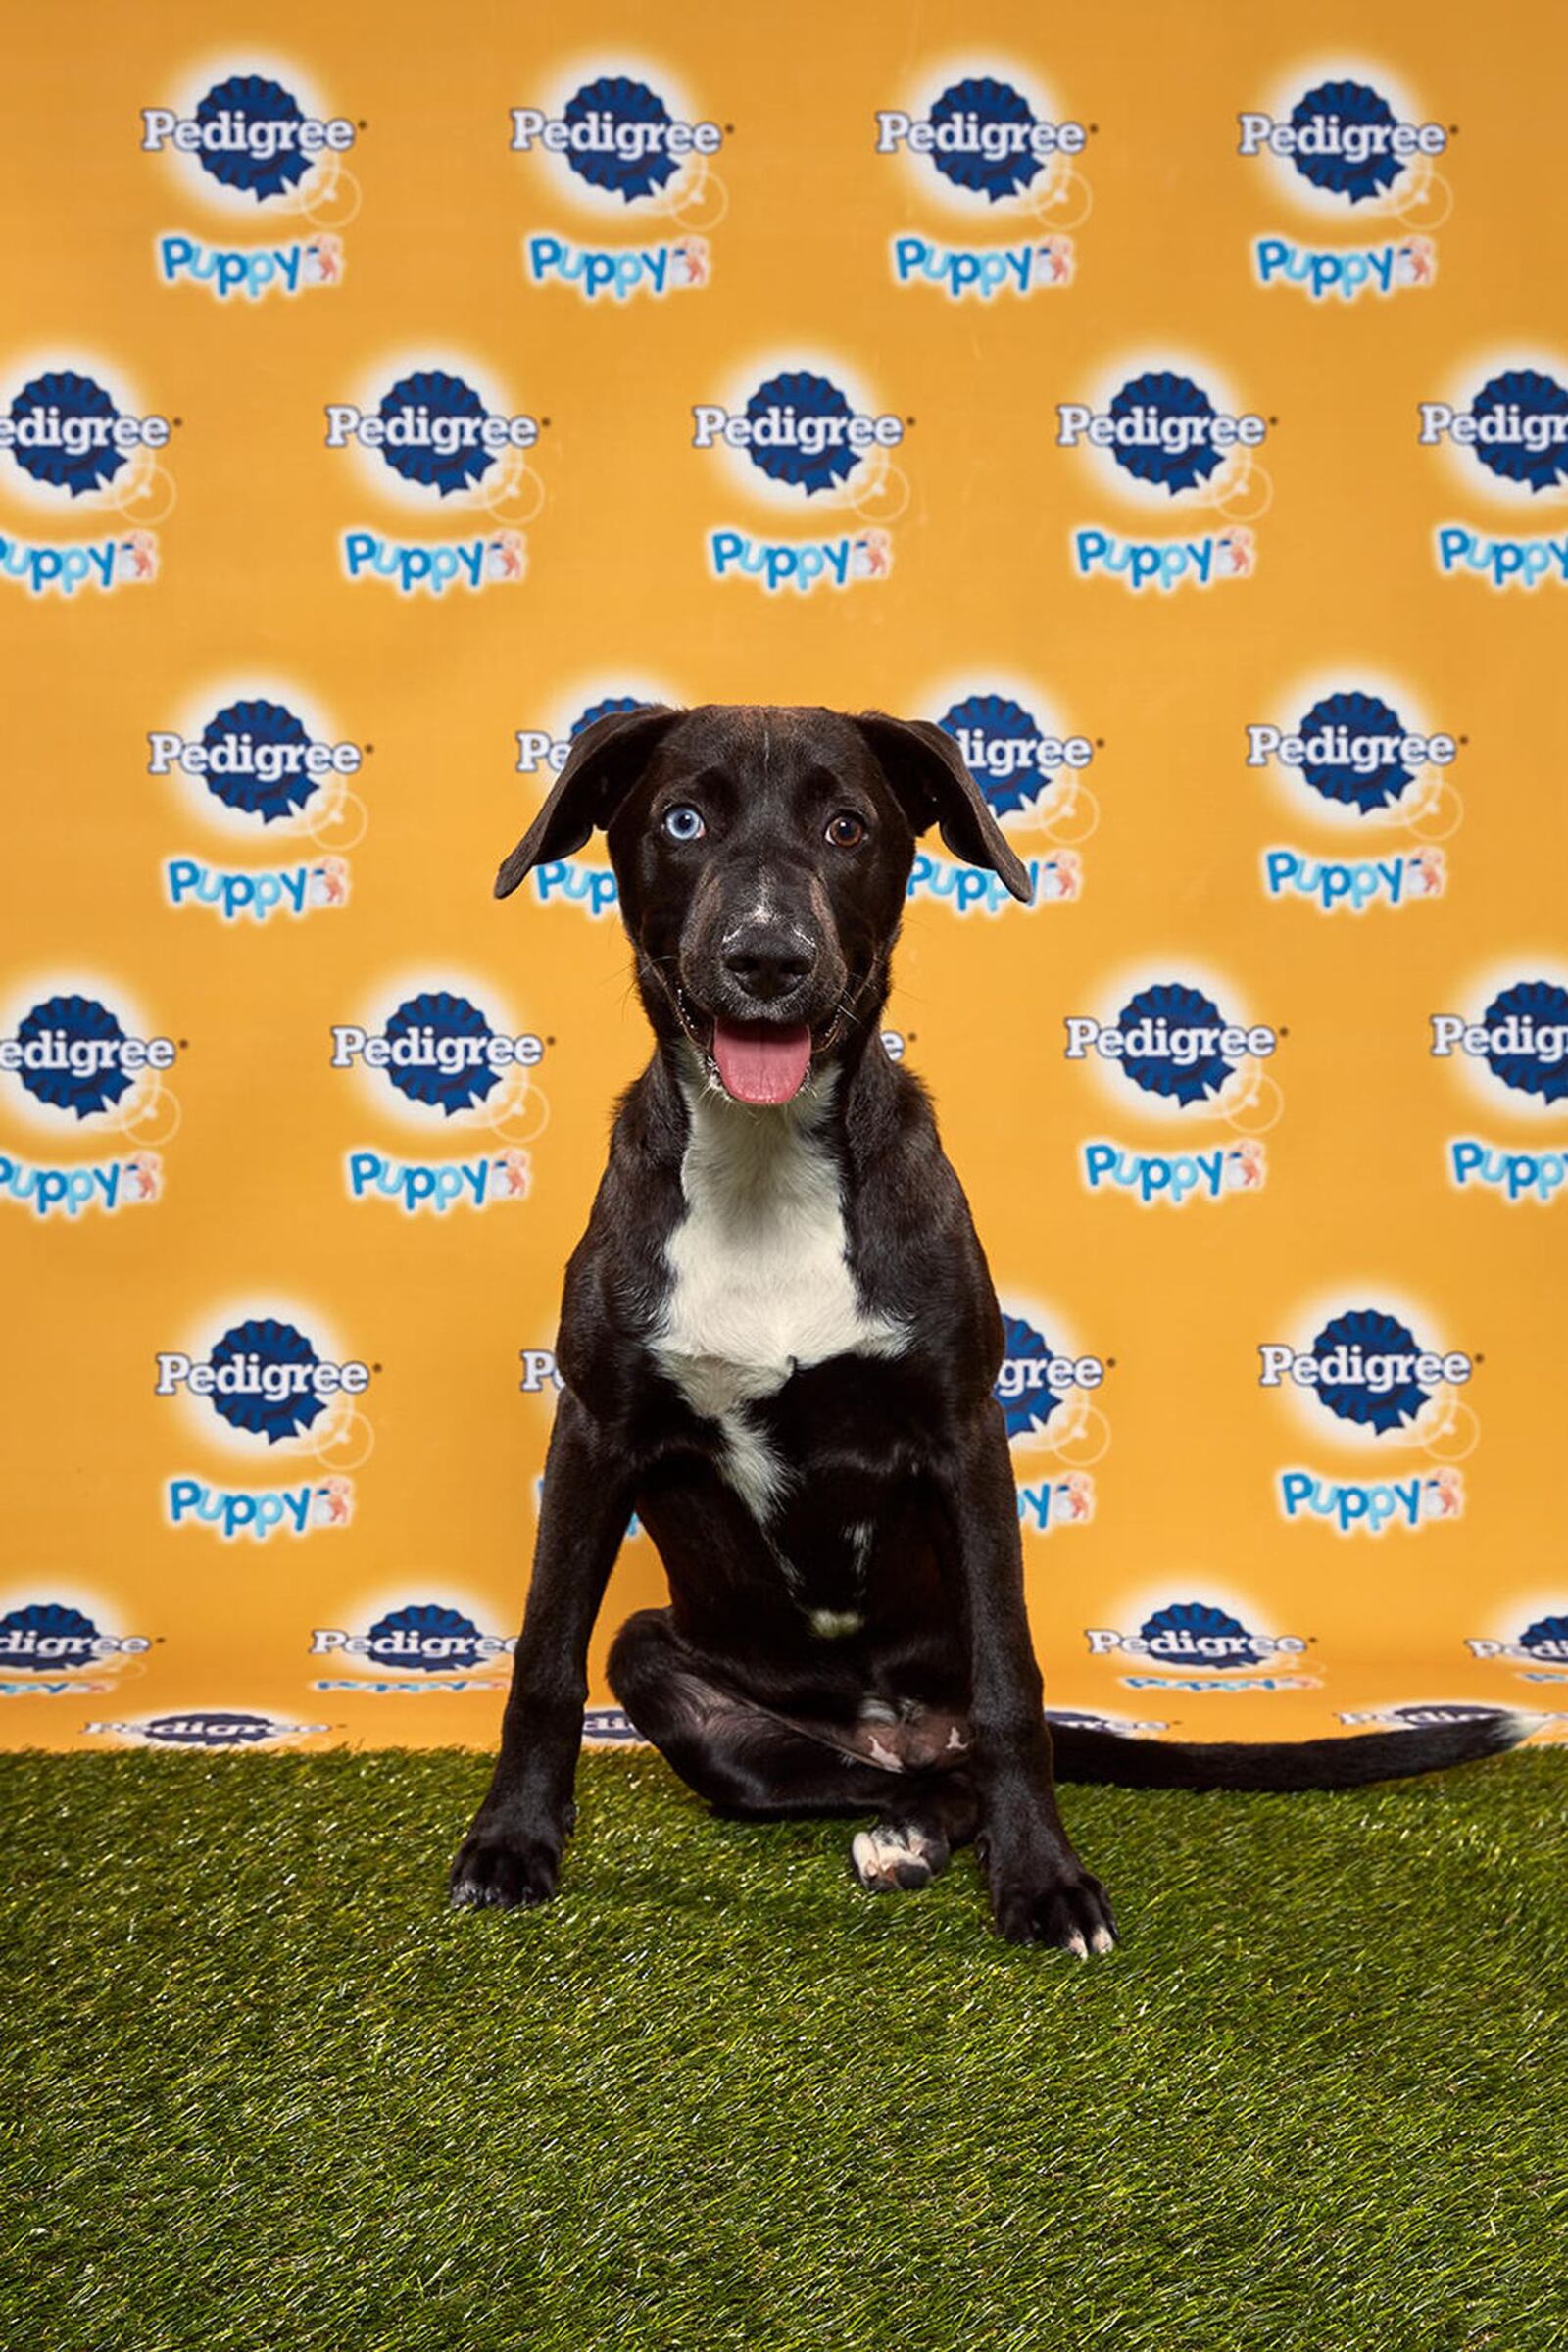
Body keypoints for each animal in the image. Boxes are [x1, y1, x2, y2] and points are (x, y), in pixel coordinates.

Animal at [451, 706, 1533, 1956]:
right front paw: (512, 1841)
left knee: (975, 1756)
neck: (764, 1173)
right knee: (870, 1773)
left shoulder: (963, 1435)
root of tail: (888, 1726)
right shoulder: (594, 1428)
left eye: (846, 827)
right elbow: (542, 1661)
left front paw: (1042, 1879)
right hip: (671, 1664)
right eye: (681, 821)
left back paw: (929, 1834)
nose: (768, 960)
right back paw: (902, 1825)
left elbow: (1015, 1690)